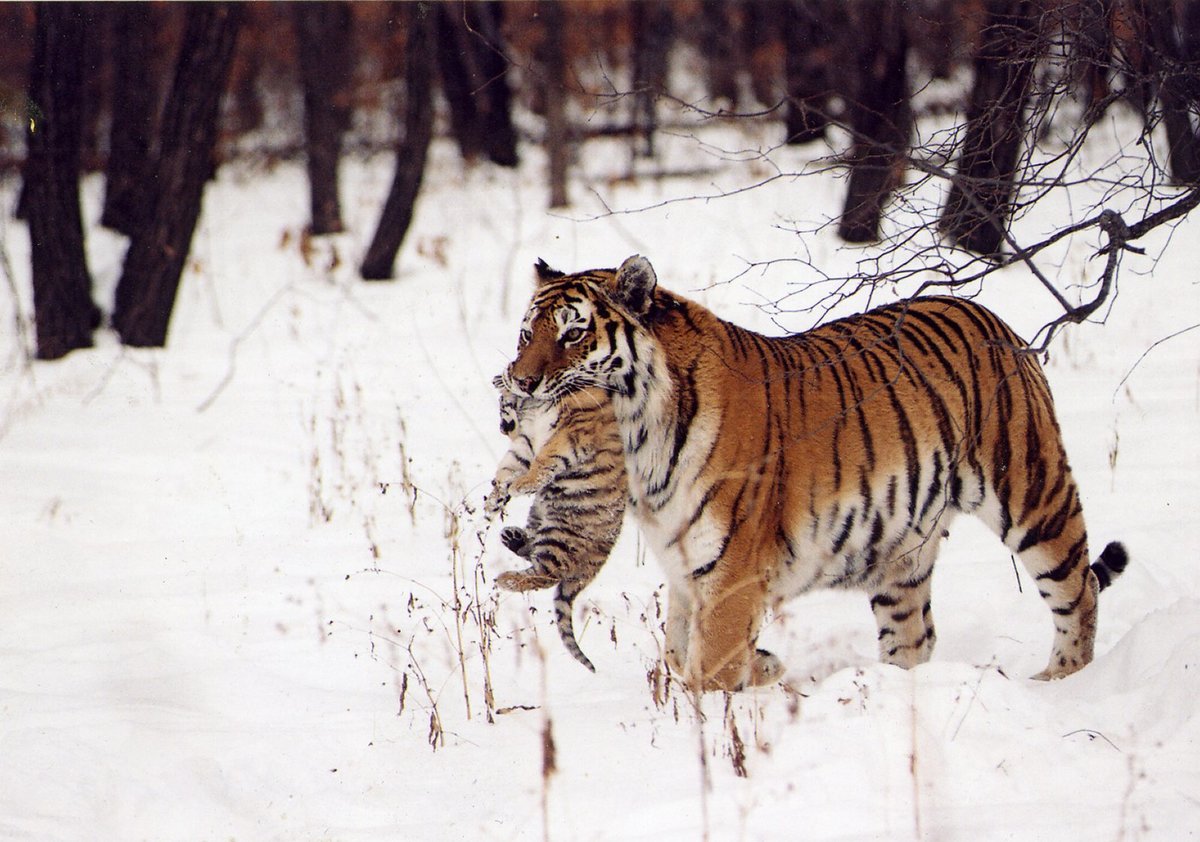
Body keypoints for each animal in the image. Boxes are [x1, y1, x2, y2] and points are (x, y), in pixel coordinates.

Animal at [484, 375, 627, 673]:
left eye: (501, 406)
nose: (502, 429)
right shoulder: (526, 442)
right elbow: (511, 464)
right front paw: (495, 497)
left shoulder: (569, 435)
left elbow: (544, 460)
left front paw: (518, 485)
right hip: (540, 514)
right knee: (533, 554)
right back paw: (512, 537)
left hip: (560, 537)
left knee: (545, 576)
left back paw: (505, 579)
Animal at [498, 255, 1129, 692]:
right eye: (527, 333)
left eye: (574, 333)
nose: (521, 383)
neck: (641, 444)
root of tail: (987, 313)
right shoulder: (685, 568)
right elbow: (678, 651)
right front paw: (765, 667)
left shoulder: (732, 573)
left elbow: (708, 667)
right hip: (902, 553)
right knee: (915, 637)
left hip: (1032, 493)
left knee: (1080, 591)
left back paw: (1060, 682)